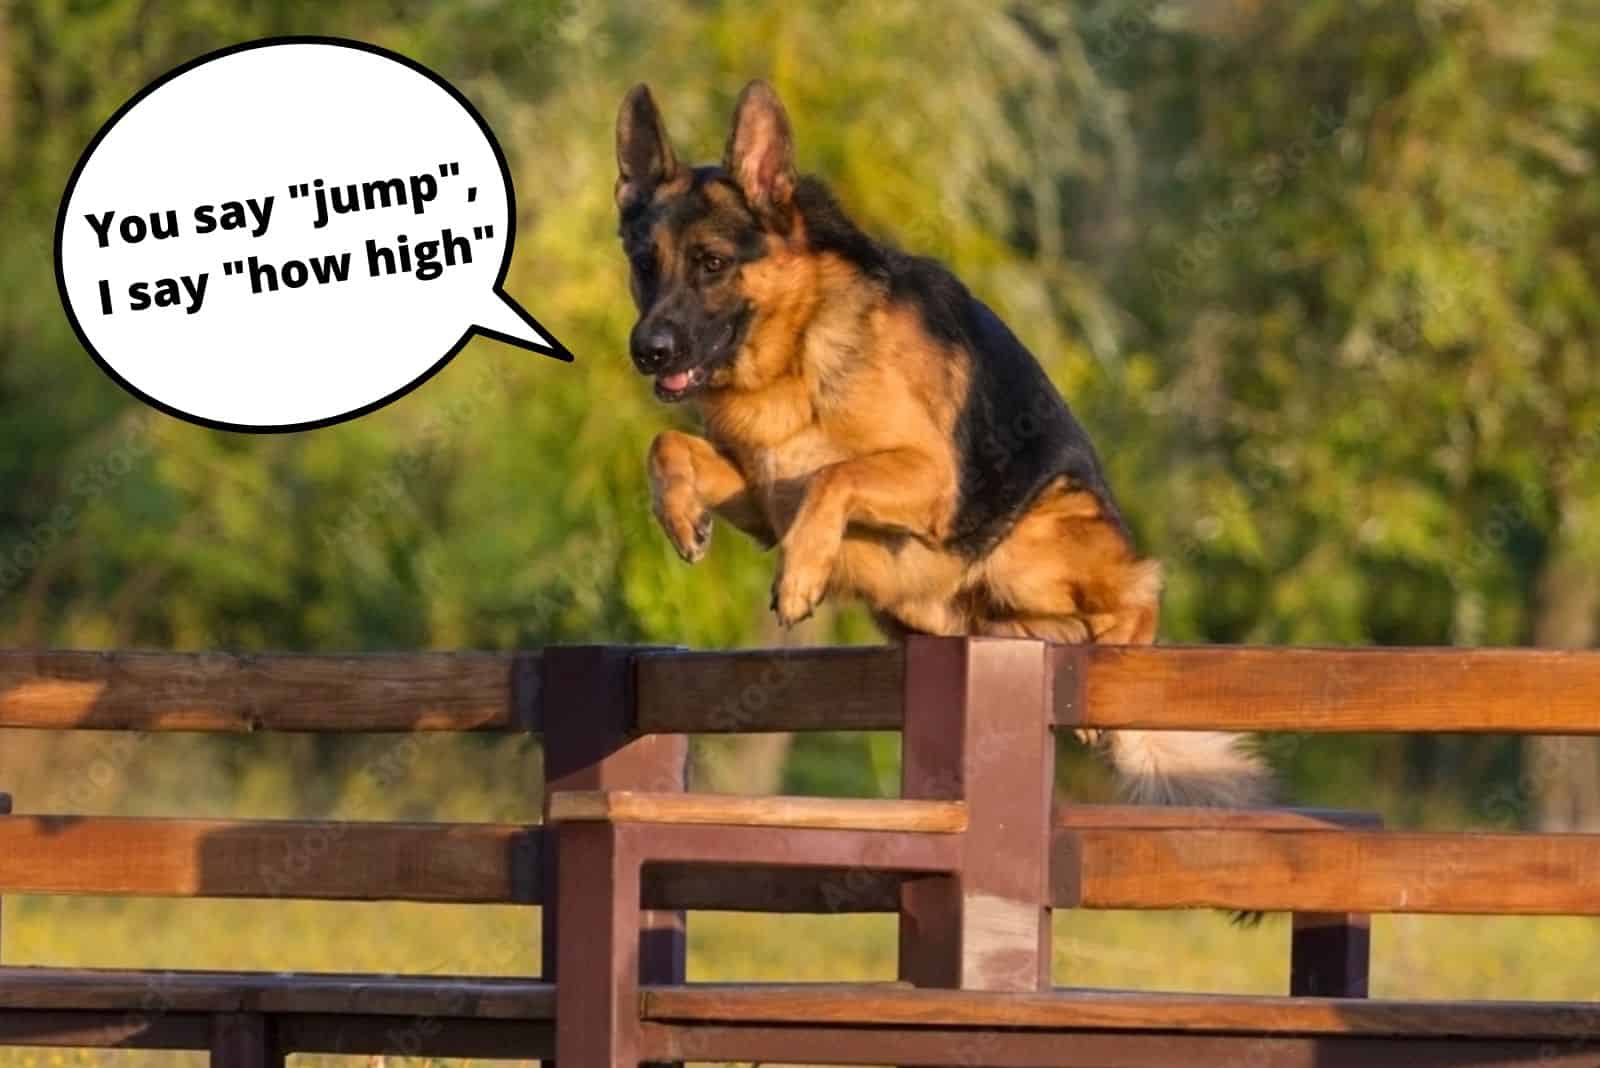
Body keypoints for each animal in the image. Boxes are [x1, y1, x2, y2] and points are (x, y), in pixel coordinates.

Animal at [617, 79, 1267, 805]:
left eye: (712, 263)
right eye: (644, 265)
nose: (647, 351)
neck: (798, 349)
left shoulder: (930, 478)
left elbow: (835, 476)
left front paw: (800, 576)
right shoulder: (764, 497)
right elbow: (667, 444)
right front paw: (682, 519)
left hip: (1030, 540)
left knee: (1136, 598)